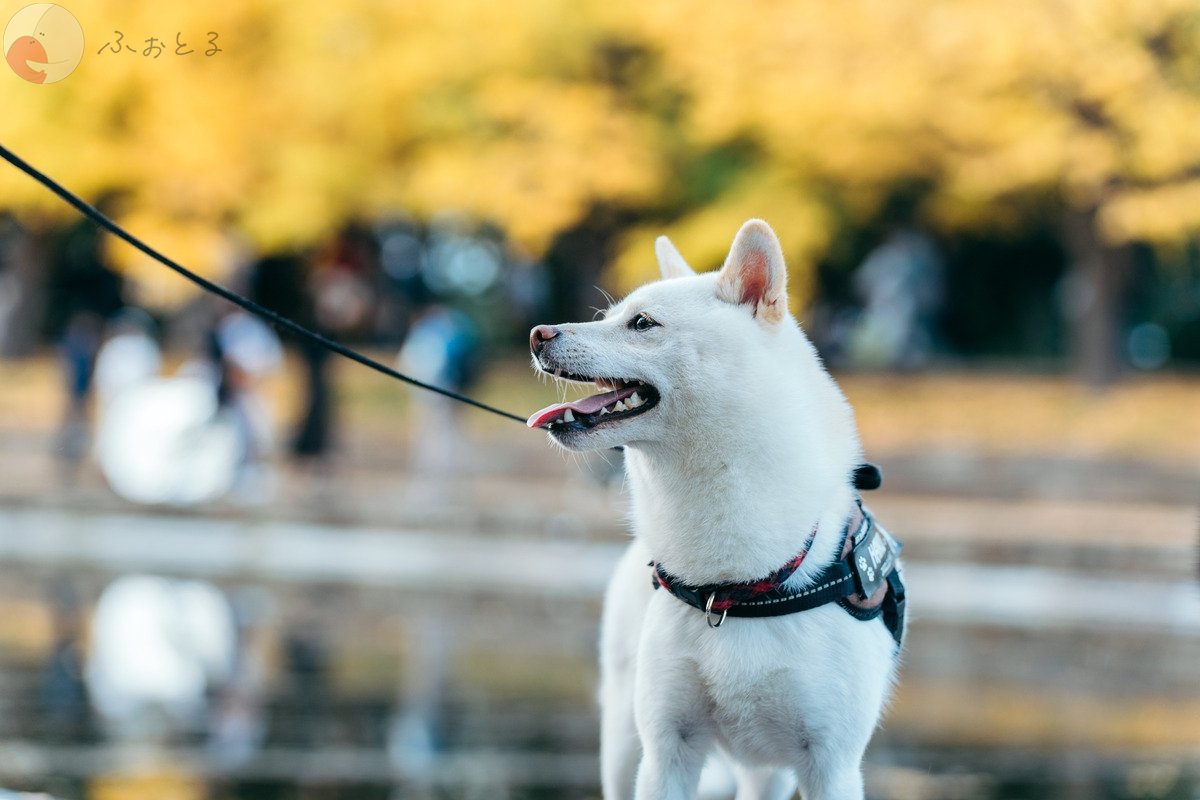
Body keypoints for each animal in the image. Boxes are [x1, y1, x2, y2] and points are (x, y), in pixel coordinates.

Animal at [530, 220, 902, 800]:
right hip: (622, 740)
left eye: (641, 323)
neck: (733, 586)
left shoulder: (832, 764)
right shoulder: (667, 752)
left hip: (766, 768)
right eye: (610, 316)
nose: (537, 334)